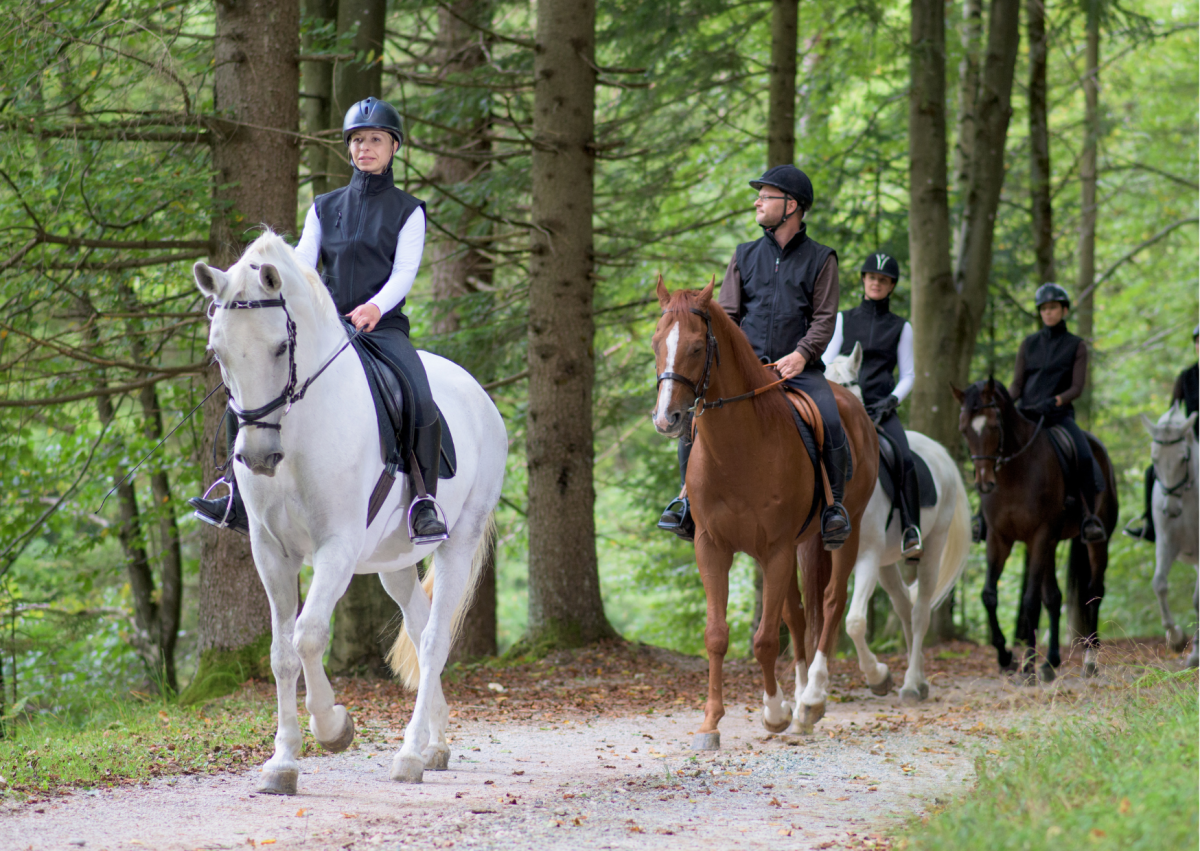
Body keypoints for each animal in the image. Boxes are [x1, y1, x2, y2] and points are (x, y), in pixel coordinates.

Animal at [192, 232, 507, 794]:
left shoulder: (335, 548)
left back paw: (409, 755)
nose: (258, 457)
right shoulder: (270, 552)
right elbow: (281, 653)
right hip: (393, 563)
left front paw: (333, 726)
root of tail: (480, 397)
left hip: (459, 541)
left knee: (434, 639)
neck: (297, 429)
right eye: (217, 351)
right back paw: (435, 745)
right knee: (420, 626)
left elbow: (309, 635)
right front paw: (282, 763)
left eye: (280, 347)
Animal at [651, 279, 877, 747]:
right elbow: (718, 636)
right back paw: (800, 699)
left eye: (697, 347)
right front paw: (710, 723)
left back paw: (811, 700)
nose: (667, 419)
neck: (738, 447)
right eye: (656, 343)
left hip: (843, 532)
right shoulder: (713, 546)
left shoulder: (775, 550)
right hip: (798, 545)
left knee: (831, 602)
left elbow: (765, 640)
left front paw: (775, 713)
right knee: (798, 612)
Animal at [825, 346, 971, 703]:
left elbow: (855, 621)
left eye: (848, 386)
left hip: (931, 548)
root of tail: (941, 453)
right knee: (905, 607)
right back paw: (919, 679)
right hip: (886, 563)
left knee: (920, 613)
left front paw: (878, 676)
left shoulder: (866, 557)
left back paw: (910, 684)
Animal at [953, 378, 1117, 680]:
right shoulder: (999, 538)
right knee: (1054, 597)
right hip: (1051, 544)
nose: (984, 483)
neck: (1014, 472)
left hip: (1096, 542)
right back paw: (1050, 662)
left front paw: (1027, 665)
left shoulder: (1038, 536)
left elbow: (1030, 601)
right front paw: (1006, 657)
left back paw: (1090, 659)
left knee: (1094, 591)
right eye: (964, 429)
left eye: (994, 425)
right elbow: (989, 595)